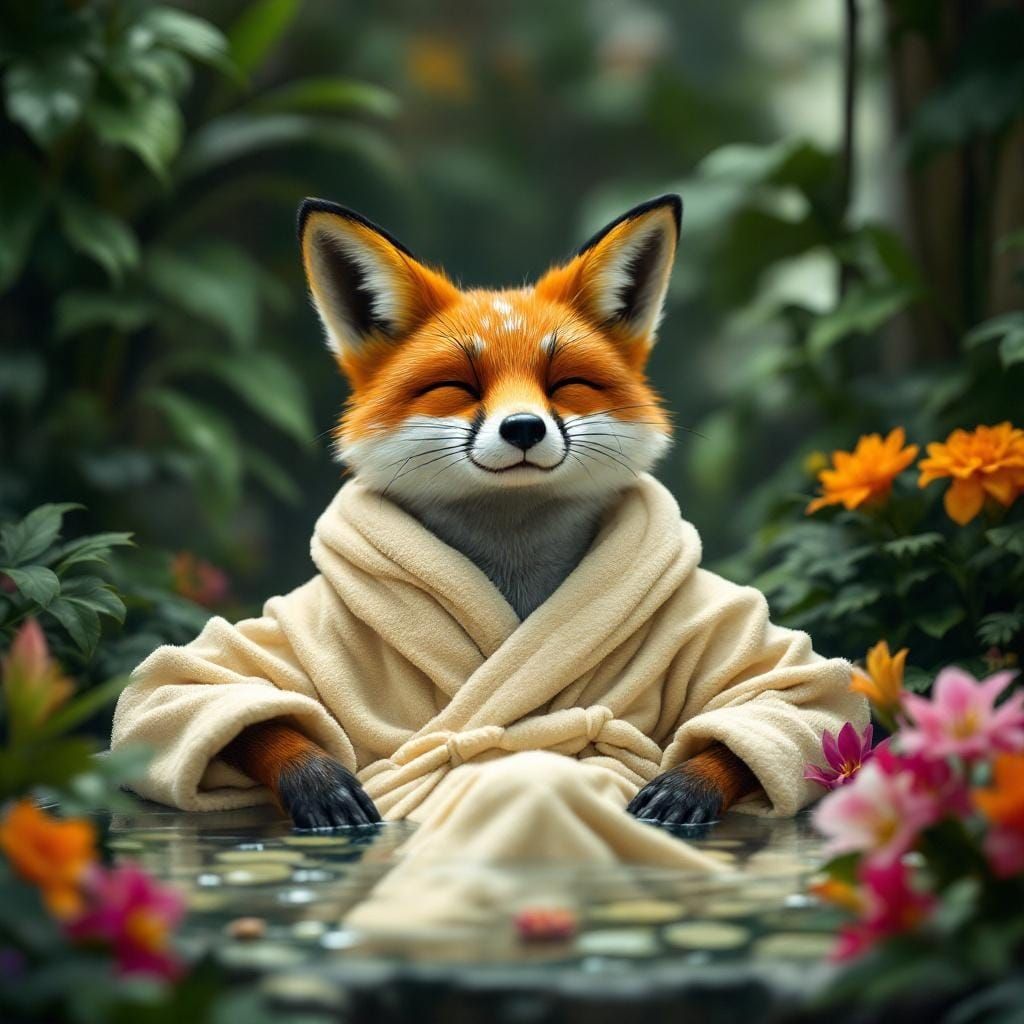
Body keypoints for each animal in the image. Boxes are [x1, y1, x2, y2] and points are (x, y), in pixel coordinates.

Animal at [221, 194, 759, 829]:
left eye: (566, 382)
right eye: (458, 386)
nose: (523, 427)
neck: (514, 572)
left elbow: (772, 698)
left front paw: (689, 784)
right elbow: (226, 693)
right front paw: (314, 779)